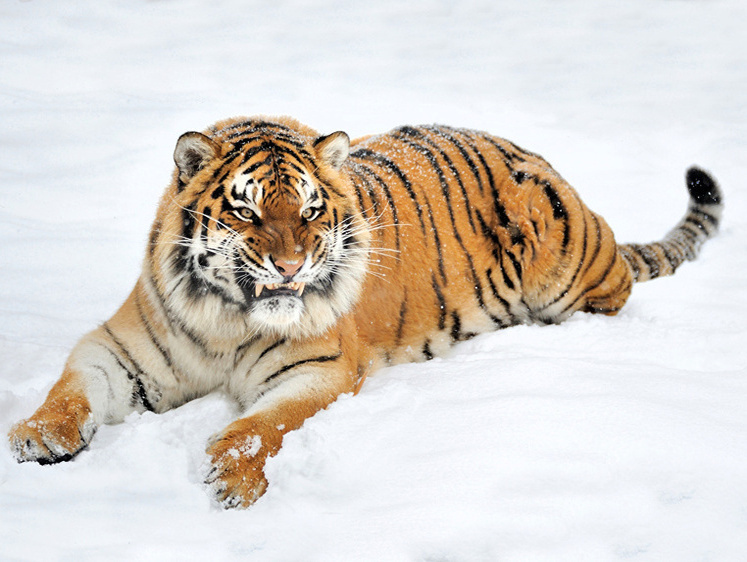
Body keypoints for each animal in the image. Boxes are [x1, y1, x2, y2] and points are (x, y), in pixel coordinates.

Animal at [8, 116, 724, 506]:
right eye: (247, 212)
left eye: (309, 210)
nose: (291, 267)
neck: (227, 320)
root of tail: (541, 159)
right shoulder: (118, 347)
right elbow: (71, 389)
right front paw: (36, 437)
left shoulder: (319, 369)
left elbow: (256, 428)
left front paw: (231, 480)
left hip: (563, 260)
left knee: (615, 295)